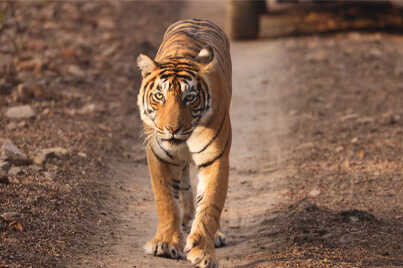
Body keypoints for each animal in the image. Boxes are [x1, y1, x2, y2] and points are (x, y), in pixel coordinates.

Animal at [137, 17, 232, 266]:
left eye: (190, 98)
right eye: (159, 96)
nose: (172, 129)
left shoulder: (216, 156)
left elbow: (209, 205)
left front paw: (203, 251)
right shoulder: (157, 153)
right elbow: (166, 200)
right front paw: (165, 243)